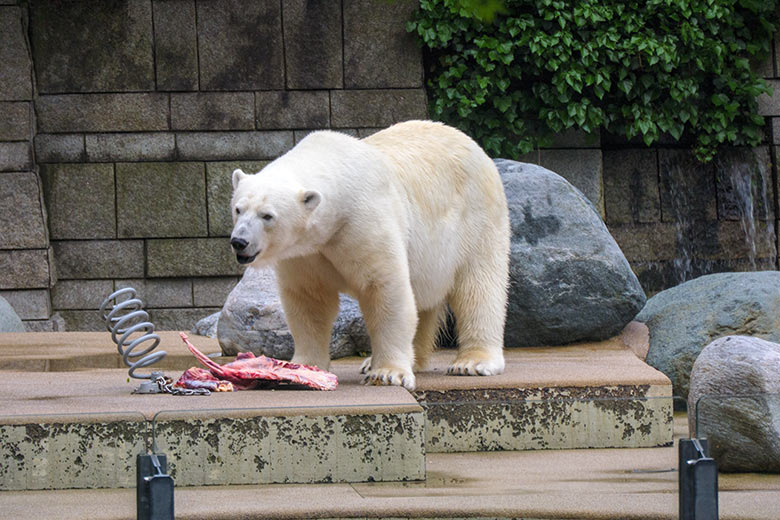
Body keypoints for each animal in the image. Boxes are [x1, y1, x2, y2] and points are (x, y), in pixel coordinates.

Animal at [230, 121, 512, 390]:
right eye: (238, 209)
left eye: (267, 215)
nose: (239, 241)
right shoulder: (306, 252)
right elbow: (309, 299)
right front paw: (303, 366)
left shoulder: (363, 221)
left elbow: (385, 288)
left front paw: (387, 373)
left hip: (477, 218)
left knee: (478, 286)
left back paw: (472, 362)